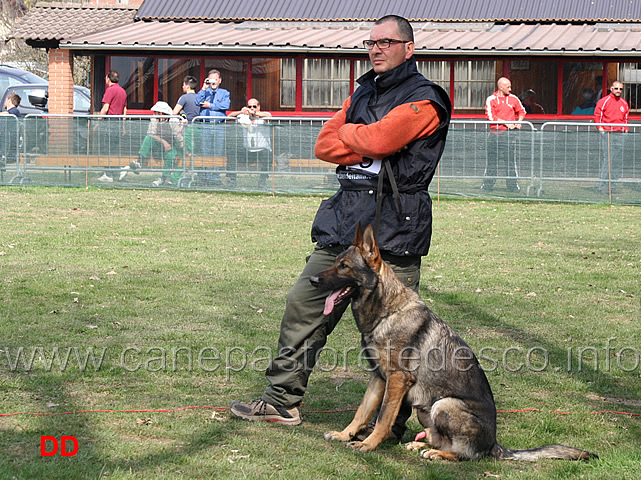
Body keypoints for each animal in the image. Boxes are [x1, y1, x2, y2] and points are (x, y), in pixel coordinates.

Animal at [308, 225, 596, 462]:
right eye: (335, 262)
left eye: (344, 266)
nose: (312, 280)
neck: (386, 312)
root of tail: (495, 445)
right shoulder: (379, 378)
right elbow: (362, 411)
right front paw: (345, 435)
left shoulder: (397, 380)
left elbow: (382, 418)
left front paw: (367, 445)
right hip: (424, 409)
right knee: (440, 439)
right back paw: (422, 446)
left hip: (444, 404)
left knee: (466, 455)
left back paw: (438, 453)